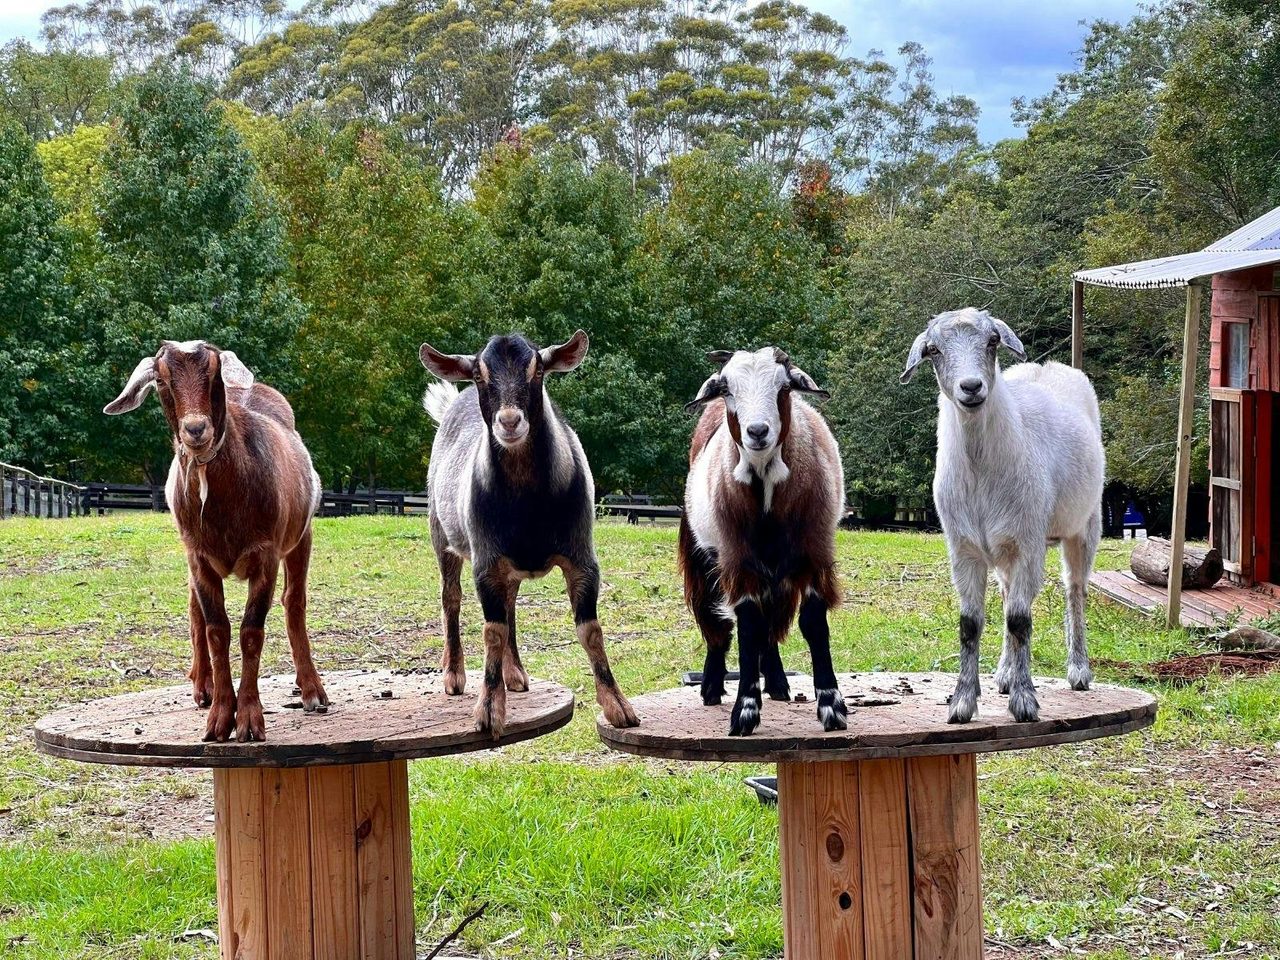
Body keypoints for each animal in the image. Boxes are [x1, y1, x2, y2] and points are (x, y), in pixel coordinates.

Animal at [105, 340, 328, 742]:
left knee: (294, 602)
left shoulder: (266, 555)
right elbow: (216, 629)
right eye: (162, 380)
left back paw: (311, 690)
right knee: (195, 609)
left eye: (213, 375)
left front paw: (250, 719)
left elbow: (251, 631)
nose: (196, 429)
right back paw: (202, 686)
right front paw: (221, 717)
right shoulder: (199, 557)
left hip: (301, 536)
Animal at [419, 330, 638, 738]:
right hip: (441, 532)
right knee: (451, 597)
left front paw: (619, 706)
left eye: (538, 371)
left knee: (510, 606)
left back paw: (515, 673)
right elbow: (492, 631)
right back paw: (454, 674)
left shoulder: (582, 556)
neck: (528, 506)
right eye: (478, 374)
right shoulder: (486, 562)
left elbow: (591, 631)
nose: (509, 421)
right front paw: (489, 711)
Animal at [679, 347, 846, 736]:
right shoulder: (736, 559)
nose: (757, 431)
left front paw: (831, 706)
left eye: (784, 387)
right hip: (704, 556)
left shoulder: (814, 551)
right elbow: (749, 626)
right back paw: (712, 687)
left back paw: (779, 683)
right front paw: (744, 710)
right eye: (727, 388)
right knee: (720, 625)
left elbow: (813, 623)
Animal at [901, 308, 1104, 724]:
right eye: (934, 349)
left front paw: (1025, 702)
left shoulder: (1028, 544)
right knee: (1010, 593)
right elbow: (970, 624)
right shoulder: (963, 549)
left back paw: (1078, 670)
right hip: (1004, 545)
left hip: (1084, 524)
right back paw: (1005, 673)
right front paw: (963, 702)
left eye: (992, 341)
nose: (971, 387)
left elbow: (1019, 620)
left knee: (1074, 589)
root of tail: (1048, 366)